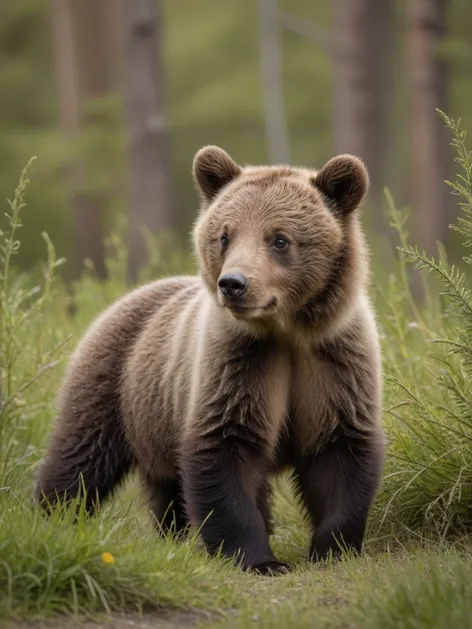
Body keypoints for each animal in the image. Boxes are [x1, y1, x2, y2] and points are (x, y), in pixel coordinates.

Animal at [35, 146, 386, 576]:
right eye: (224, 235)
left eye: (280, 239)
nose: (234, 283)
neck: (286, 332)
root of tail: (123, 300)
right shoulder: (235, 364)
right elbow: (222, 449)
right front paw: (259, 559)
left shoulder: (333, 363)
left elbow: (339, 451)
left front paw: (333, 548)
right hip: (116, 382)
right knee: (81, 456)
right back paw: (52, 518)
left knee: (165, 487)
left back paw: (173, 534)